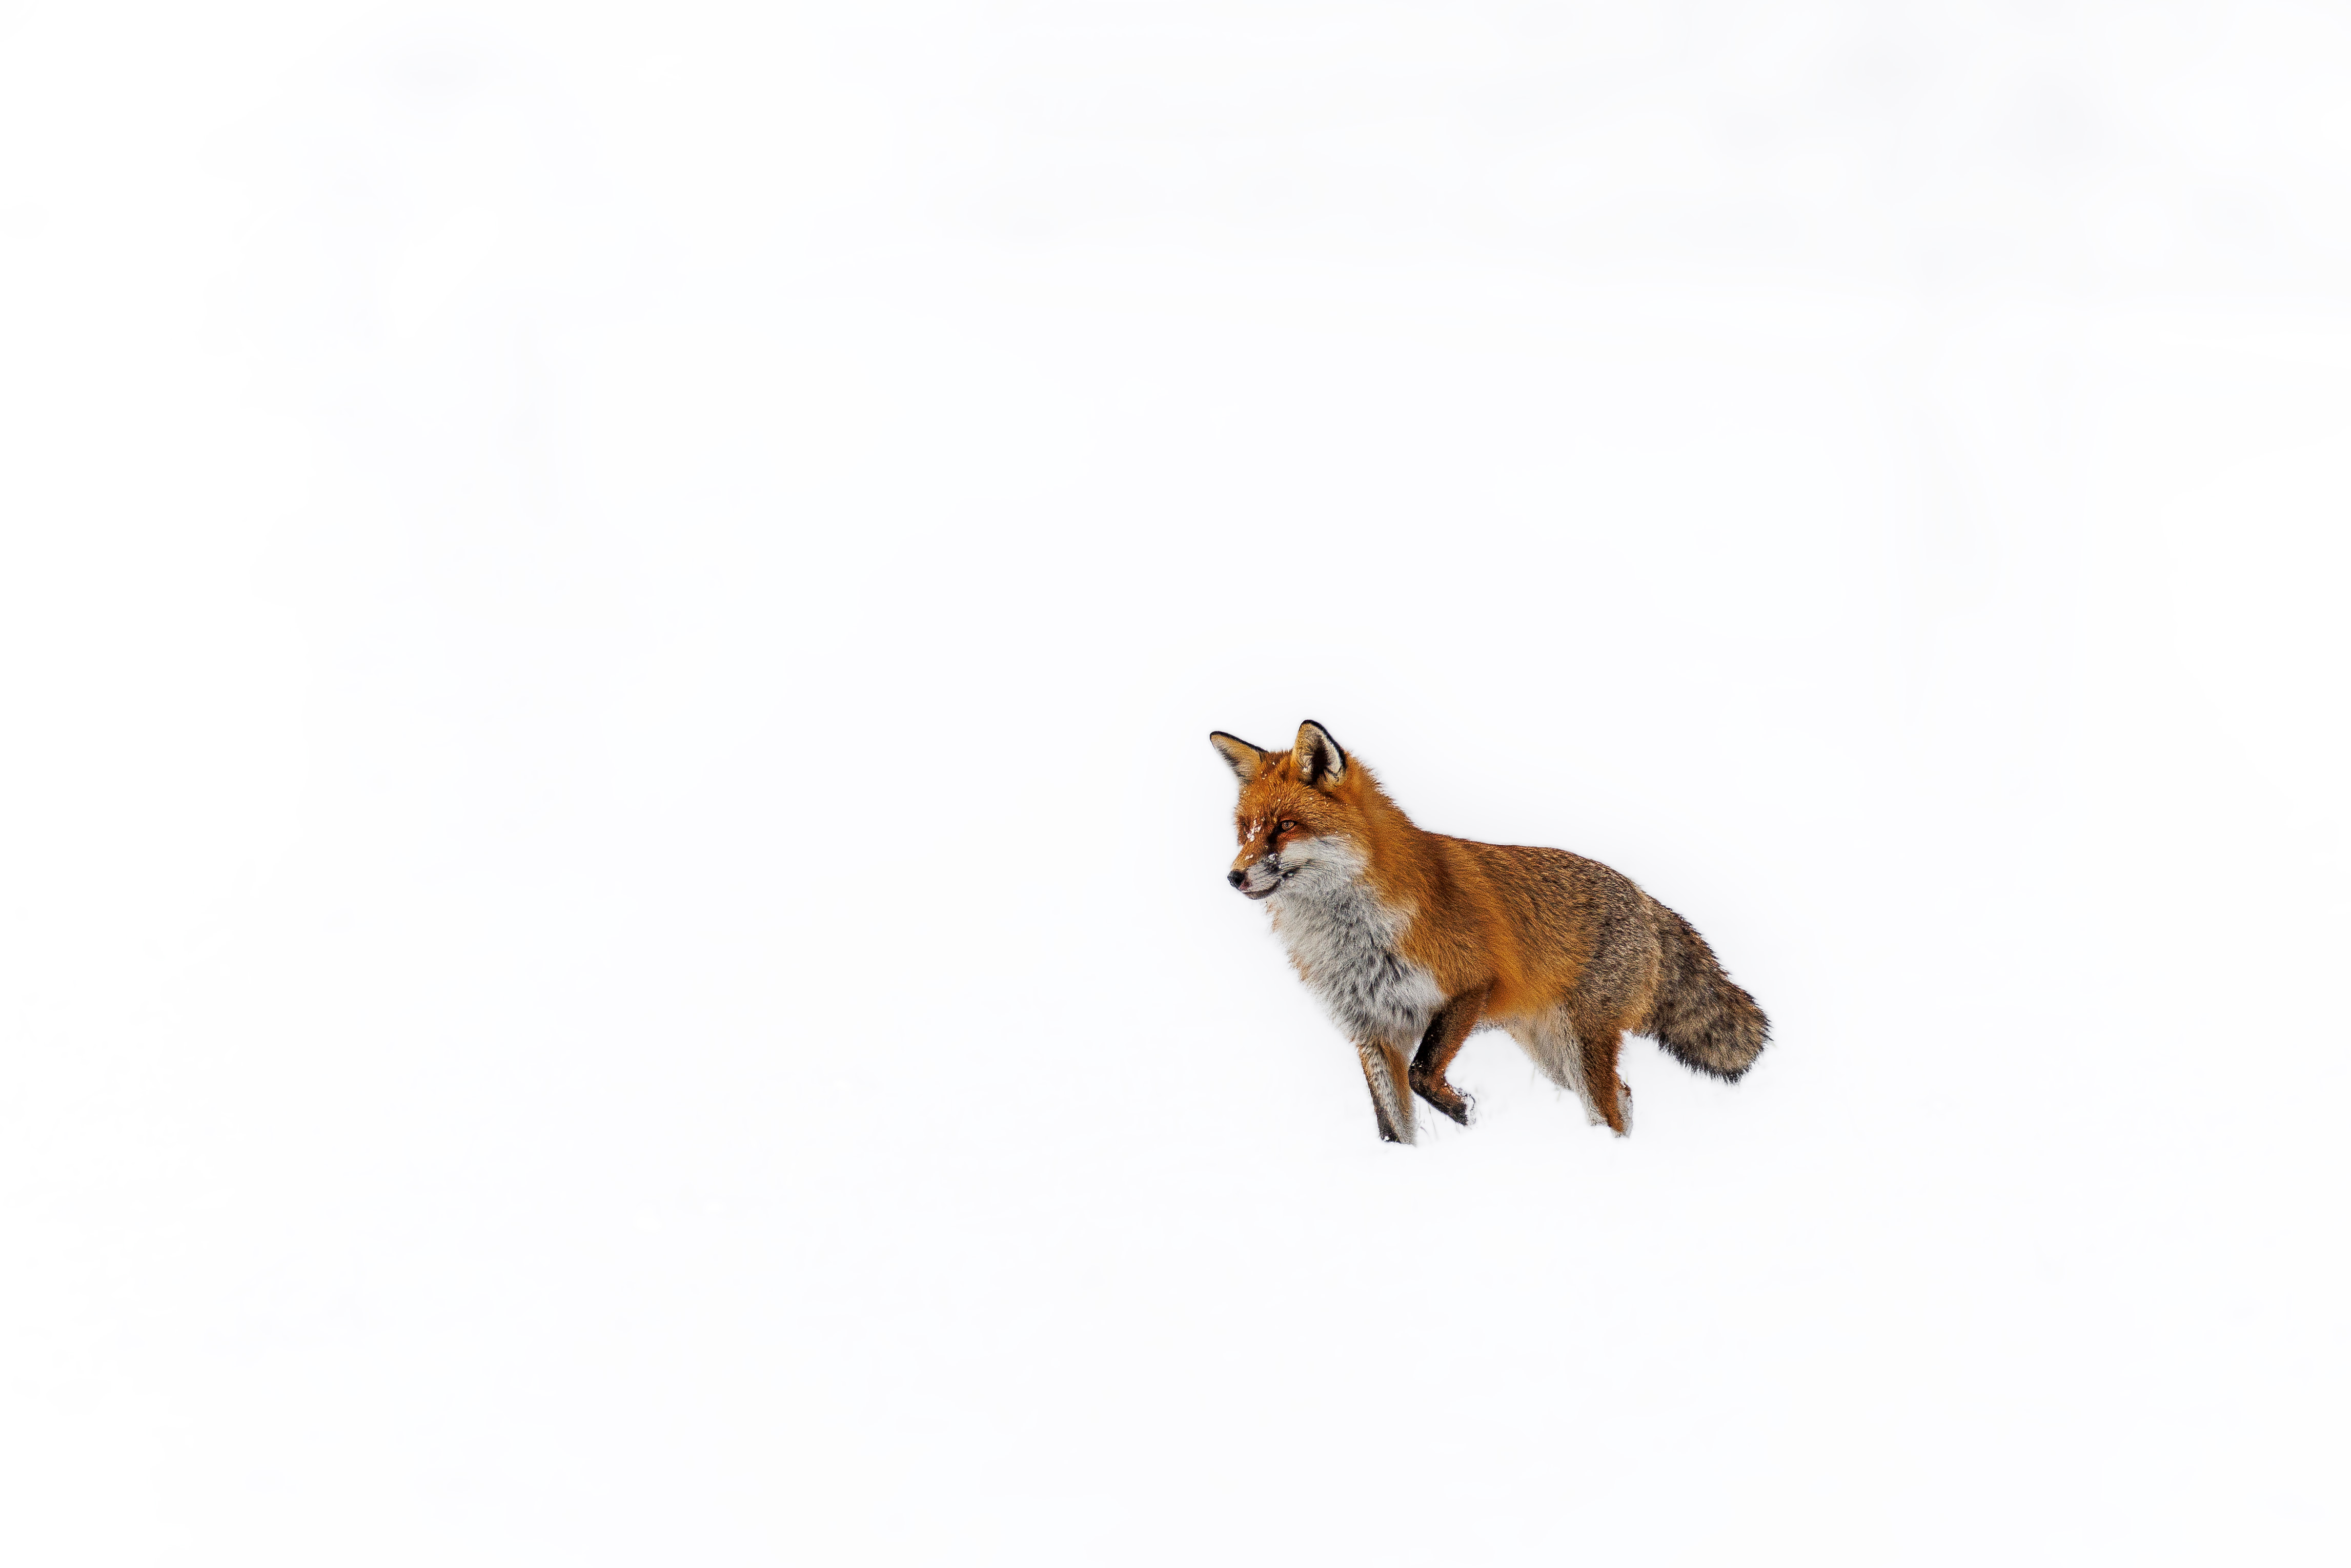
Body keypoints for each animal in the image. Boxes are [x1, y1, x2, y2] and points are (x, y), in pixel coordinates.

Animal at [1211, 720, 1767, 1144]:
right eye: (1245, 829)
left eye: (1285, 826)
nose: (1233, 876)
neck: (1352, 939)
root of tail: (1643, 896)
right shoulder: (1372, 1031)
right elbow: (1394, 1128)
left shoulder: (1469, 987)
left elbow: (1422, 1073)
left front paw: (1464, 1110)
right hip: (1555, 1054)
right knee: (1623, 1099)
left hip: (1579, 1047)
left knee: (1611, 1105)